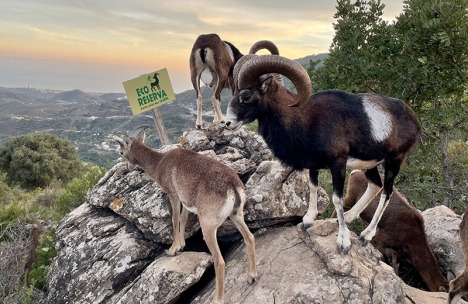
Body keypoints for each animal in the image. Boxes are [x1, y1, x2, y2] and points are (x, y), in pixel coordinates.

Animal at [225, 54, 422, 254]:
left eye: (246, 96)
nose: (228, 123)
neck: (304, 118)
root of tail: (414, 120)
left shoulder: (338, 164)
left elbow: (336, 198)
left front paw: (343, 242)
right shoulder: (314, 165)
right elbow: (312, 188)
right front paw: (307, 221)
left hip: (394, 161)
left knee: (386, 193)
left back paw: (366, 235)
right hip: (369, 164)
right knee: (375, 185)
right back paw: (349, 217)